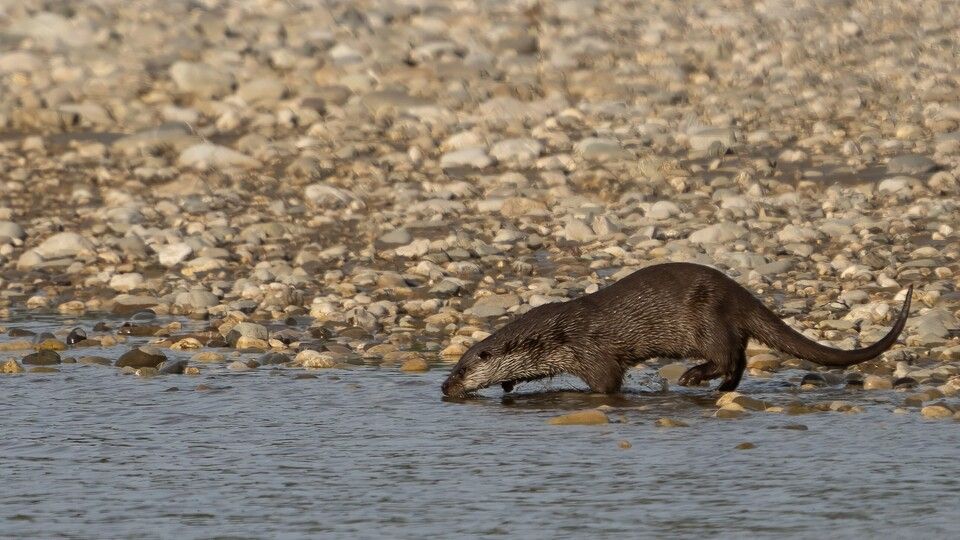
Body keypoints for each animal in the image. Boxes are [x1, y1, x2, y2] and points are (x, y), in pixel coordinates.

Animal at [438, 262, 912, 396]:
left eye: (461, 369)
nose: (444, 387)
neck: (559, 336)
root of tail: (738, 292)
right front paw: (508, 386)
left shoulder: (592, 354)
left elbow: (606, 384)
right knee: (740, 359)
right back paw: (721, 389)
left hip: (705, 322)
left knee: (728, 354)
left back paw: (693, 376)